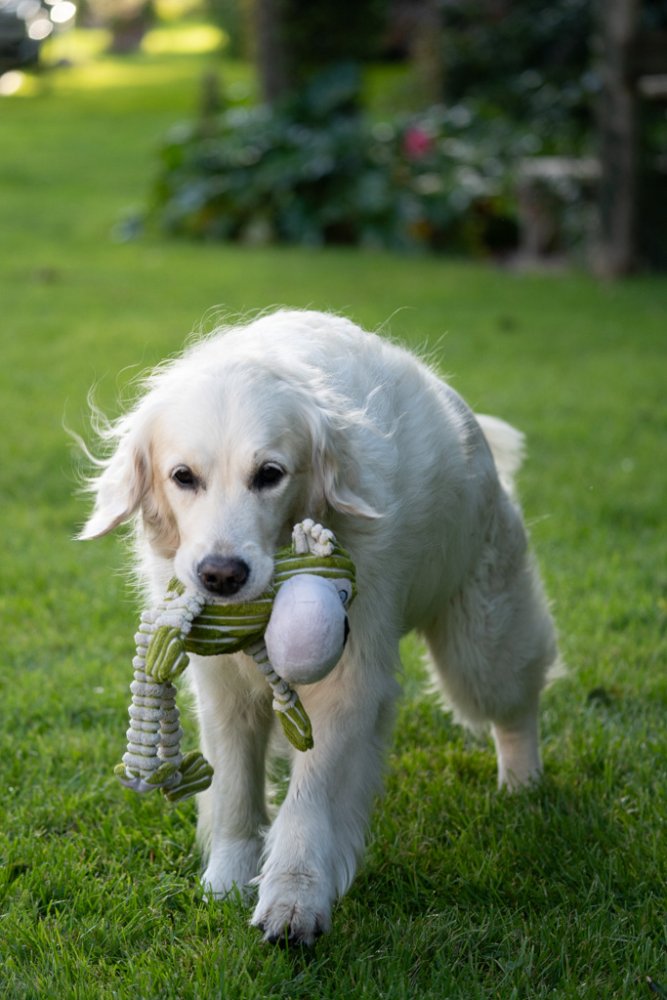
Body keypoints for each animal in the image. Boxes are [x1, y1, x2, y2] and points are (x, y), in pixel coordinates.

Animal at [79, 308, 560, 940]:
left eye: (270, 474)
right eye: (183, 476)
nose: (221, 576)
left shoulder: (348, 677)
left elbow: (312, 796)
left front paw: (294, 898)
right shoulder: (221, 686)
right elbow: (233, 787)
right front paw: (228, 877)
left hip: (480, 643)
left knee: (514, 705)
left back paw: (523, 785)